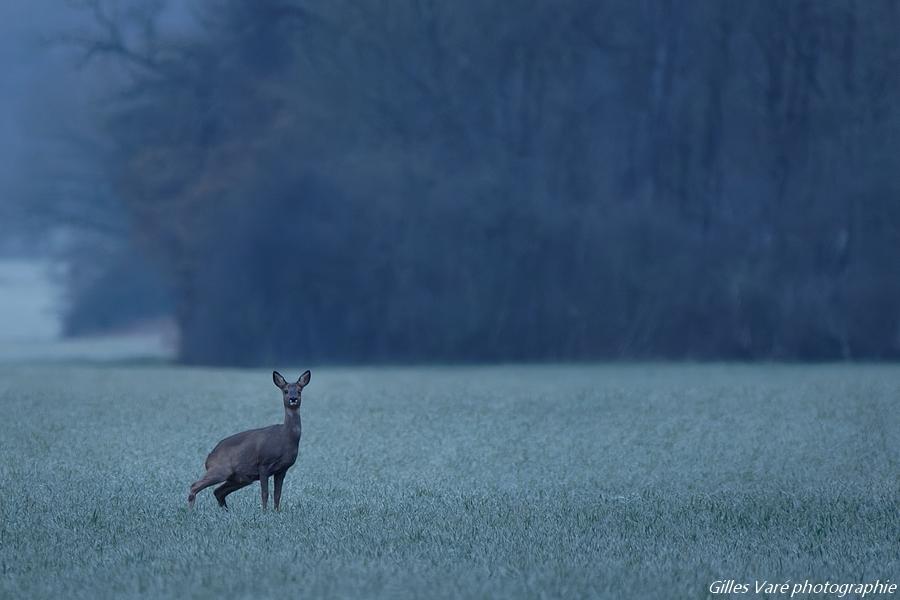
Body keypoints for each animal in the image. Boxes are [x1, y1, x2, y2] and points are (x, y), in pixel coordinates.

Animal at [188, 370, 312, 510]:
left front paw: (276, 512)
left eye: (299, 391)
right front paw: (264, 512)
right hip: (221, 470)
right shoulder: (263, 464)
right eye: (285, 391)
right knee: (194, 486)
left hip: (239, 478)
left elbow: (278, 494)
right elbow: (265, 493)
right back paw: (191, 511)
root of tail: (208, 459)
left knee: (218, 491)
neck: (286, 437)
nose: (293, 399)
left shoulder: (282, 470)